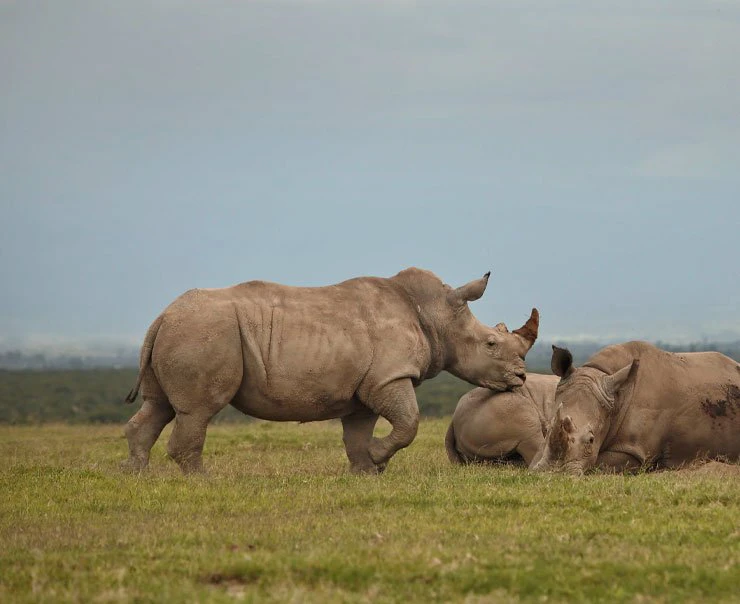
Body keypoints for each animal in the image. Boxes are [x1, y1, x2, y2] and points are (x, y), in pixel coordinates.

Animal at [123, 268, 540, 474]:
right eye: (491, 344)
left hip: (183, 331)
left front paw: (367, 470)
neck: (437, 313)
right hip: (204, 332)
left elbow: (358, 432)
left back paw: (136, 474)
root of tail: (162, 316)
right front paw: (378, 458)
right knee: (198, 410)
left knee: (158, 406)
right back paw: (201, 479)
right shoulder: (389, 376)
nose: (520, 378)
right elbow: (409, 422)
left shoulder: (367, 386)